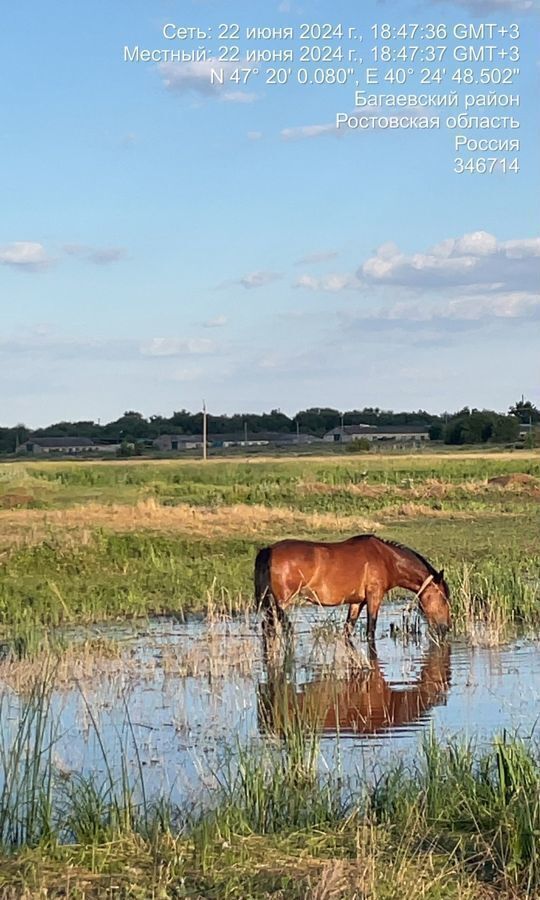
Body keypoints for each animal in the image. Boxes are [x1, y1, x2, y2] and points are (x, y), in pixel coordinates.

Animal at [255, 532, 450, 644]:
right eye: (443, 598)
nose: (445, 628)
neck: (387, 559)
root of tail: (268, 550)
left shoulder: (357, 602)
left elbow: (348, 629)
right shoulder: (374, 598)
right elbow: (371, 629)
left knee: (267, 628)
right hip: (281, 602)